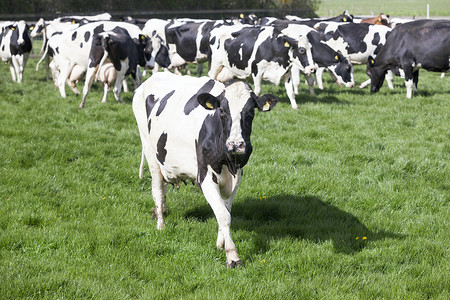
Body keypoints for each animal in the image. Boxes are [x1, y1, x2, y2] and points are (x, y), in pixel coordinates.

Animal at [132, 72, 278, 268]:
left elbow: (225, 210)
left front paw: (220, 243)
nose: (236, 144)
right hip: (149, 150)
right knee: (158, 190)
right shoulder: (206, 177)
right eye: (222, 111)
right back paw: (161, 224)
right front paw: (232, 256)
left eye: (251, 112)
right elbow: (223, 215)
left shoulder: (236, 177)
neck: (228, 160)